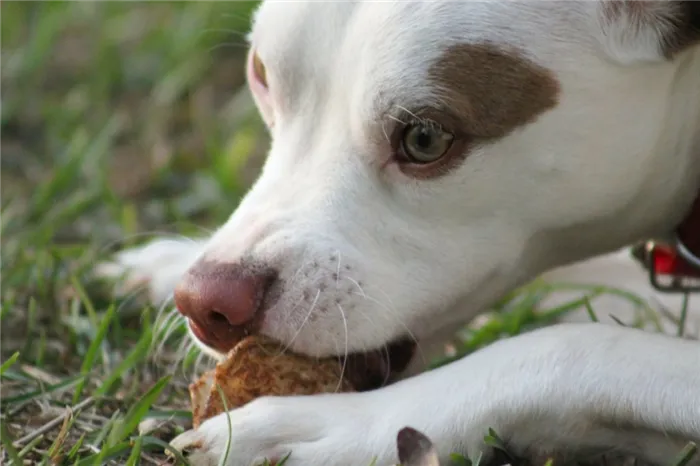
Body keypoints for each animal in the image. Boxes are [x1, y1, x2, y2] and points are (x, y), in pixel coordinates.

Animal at [97, 0, 700, 464]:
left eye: (425, 139)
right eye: (261, 75)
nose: (207, 302)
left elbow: (577, 346)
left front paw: (342, 424)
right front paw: (168, 263)